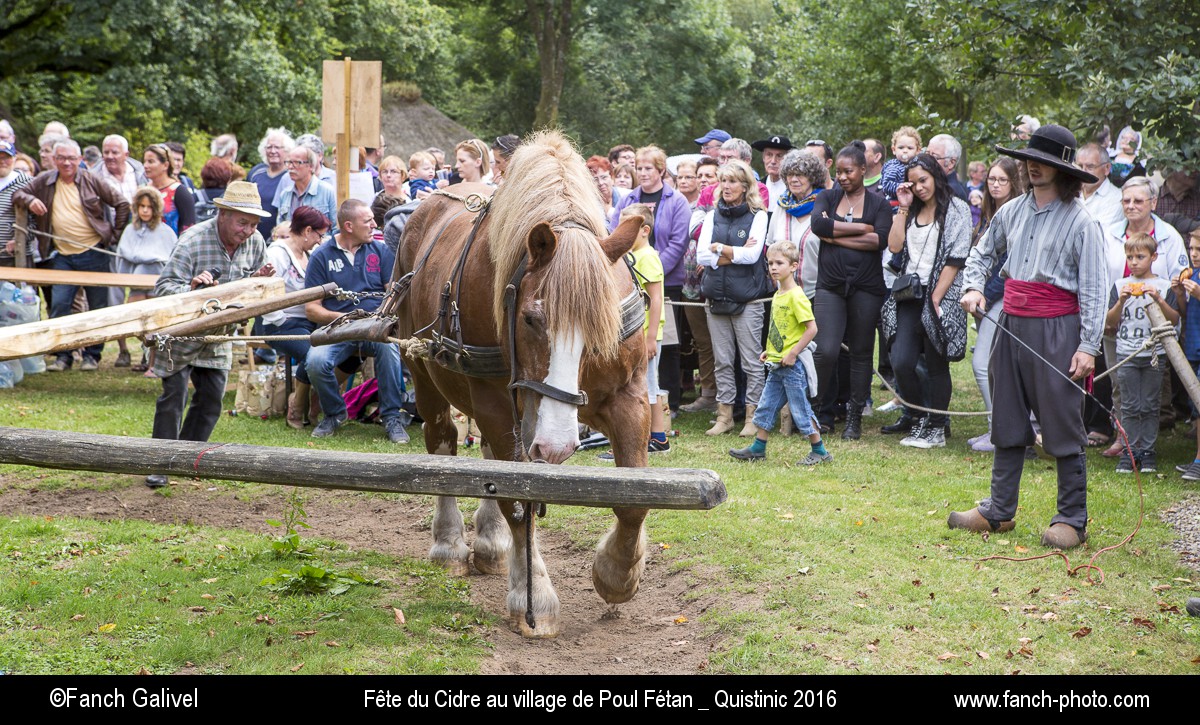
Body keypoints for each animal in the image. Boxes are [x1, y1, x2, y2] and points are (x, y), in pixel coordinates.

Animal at [393, 131, 651, 637]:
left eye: (602, 327)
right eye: (532, 319)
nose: (556, 444)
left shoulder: (627, 394)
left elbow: (633, 498)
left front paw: (615, 574)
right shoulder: (495, 402)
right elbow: (519, 498)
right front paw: (534, 598)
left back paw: (491, 544)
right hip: (425, 373)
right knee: (444, 443)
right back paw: (449, 543)